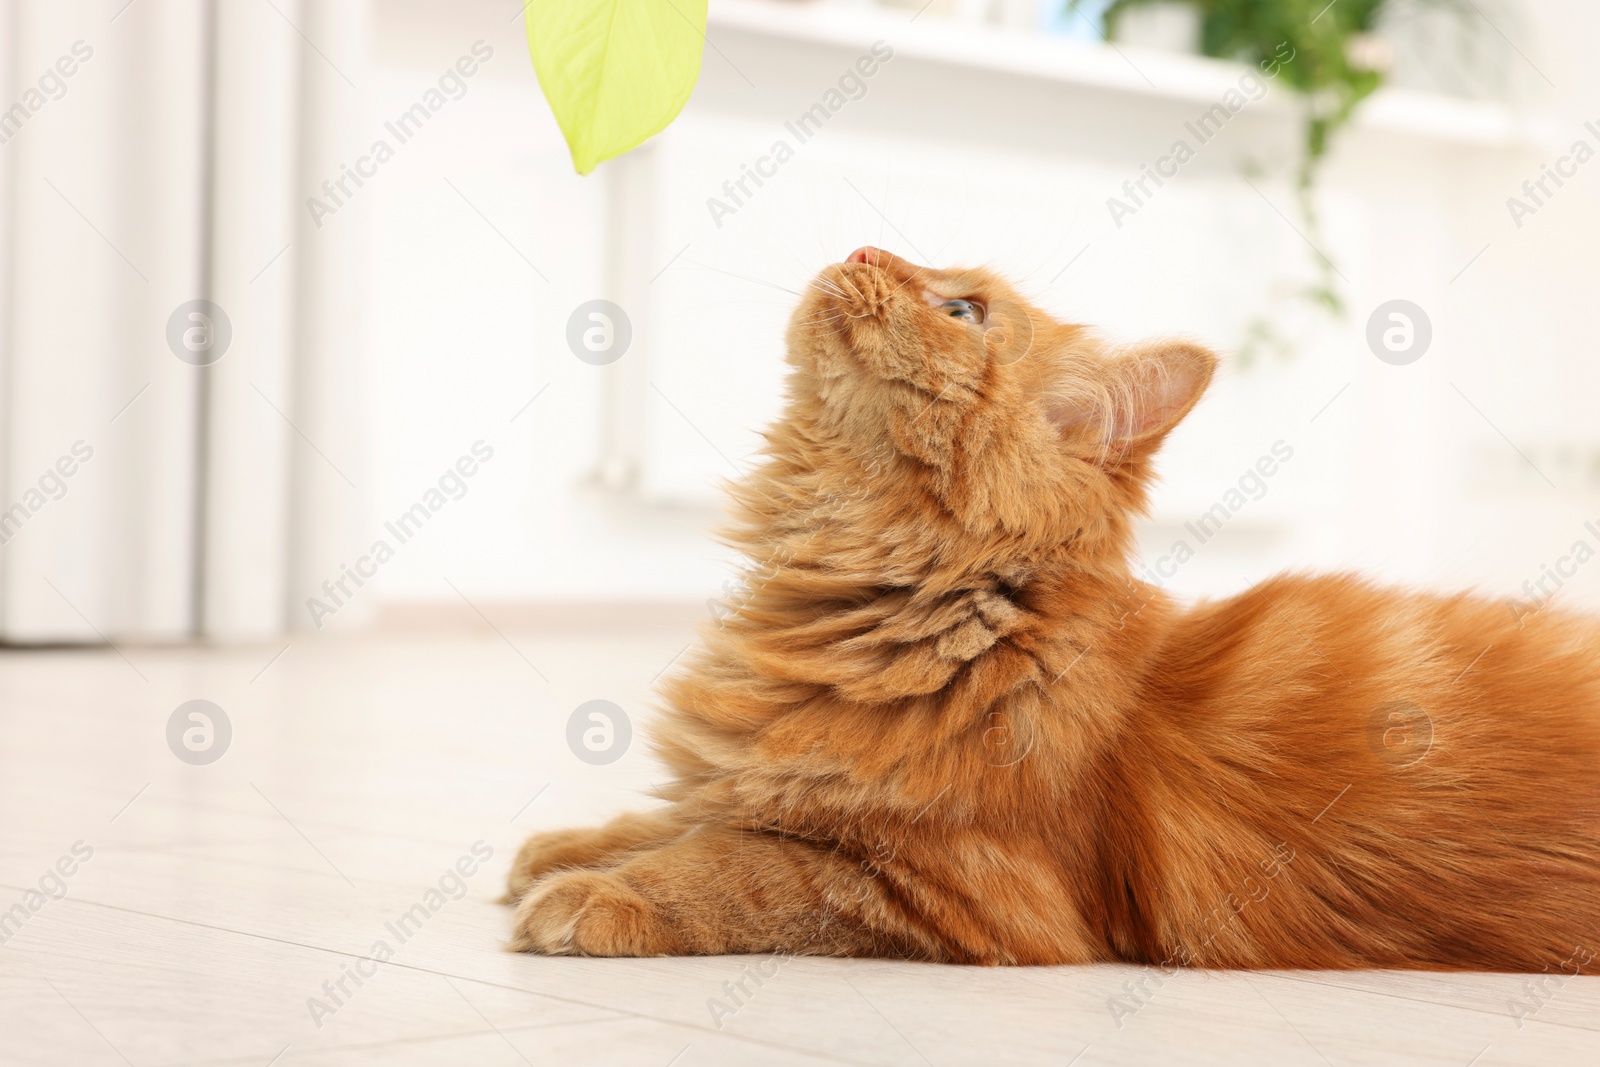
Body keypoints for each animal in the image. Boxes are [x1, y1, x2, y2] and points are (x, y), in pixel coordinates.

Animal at [508, 246, 1600, 972]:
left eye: (963, 307)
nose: (857, 249)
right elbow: (682, 811)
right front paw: (565, 846)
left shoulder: (960, 887)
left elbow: (737, 865)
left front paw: (595, 893)